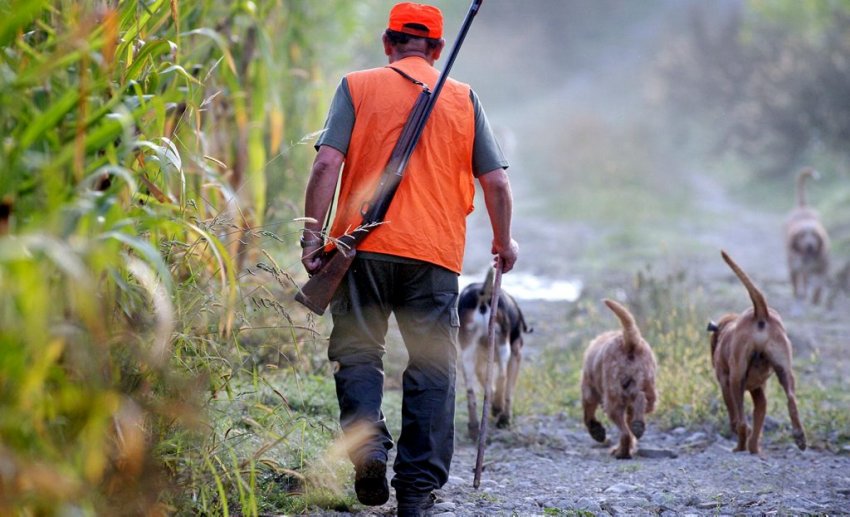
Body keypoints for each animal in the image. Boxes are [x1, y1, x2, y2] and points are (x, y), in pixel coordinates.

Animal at [580, 298, 660, 460]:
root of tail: (629, 342)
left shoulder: (588, 390)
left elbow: (588, 415)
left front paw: (597, 431)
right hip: (648, 388)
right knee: (640, 402)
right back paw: (637, 426)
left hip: (613, 397)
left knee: (625, 433)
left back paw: (621, 452)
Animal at [704, 250, 804, 452]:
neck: (727, 328)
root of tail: (760, 313)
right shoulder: (759, 393)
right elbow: (758, 422)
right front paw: (755, 449)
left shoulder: (726, 384)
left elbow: (736, 418)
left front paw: (746, 444)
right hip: (785, 371)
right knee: (791, 401)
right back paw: (799, 437)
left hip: (736, 380)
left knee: (742, 422)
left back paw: (738, 447)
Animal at [780, 166, 828, 302]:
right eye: (801, 236)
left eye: (815, 236)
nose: (809, 245)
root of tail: (802, 206)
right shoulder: (793, 268)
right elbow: (795, 284)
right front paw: (797, 295)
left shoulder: (822, 268)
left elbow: (819, 286)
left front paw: (815, 300)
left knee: (807, 280)